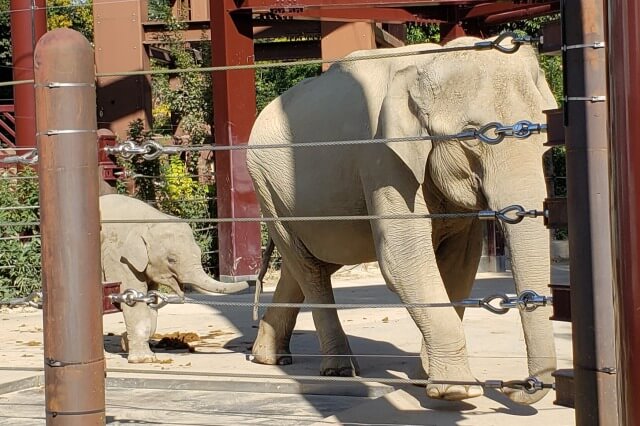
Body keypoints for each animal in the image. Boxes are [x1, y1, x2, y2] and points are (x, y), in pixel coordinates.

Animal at [101, 194, 249, 362]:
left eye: (199, 253)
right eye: (171, 260)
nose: (249, 281)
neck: (146, 220)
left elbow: (151, 301)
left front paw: (125, 342)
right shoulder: (117, 258)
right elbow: (133, 299)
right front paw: (144, 359)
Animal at [245, 35, 556, 402]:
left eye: (543, 134)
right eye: (476, 135)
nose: (514, 386)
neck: (427, 62)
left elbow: (461, 263)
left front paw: (426, 377)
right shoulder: (382, 156)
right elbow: (403, 257)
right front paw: (456, 392)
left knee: (306, 263)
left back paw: (269, 357)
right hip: (266, 186)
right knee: (308, 267)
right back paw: (340, 370)